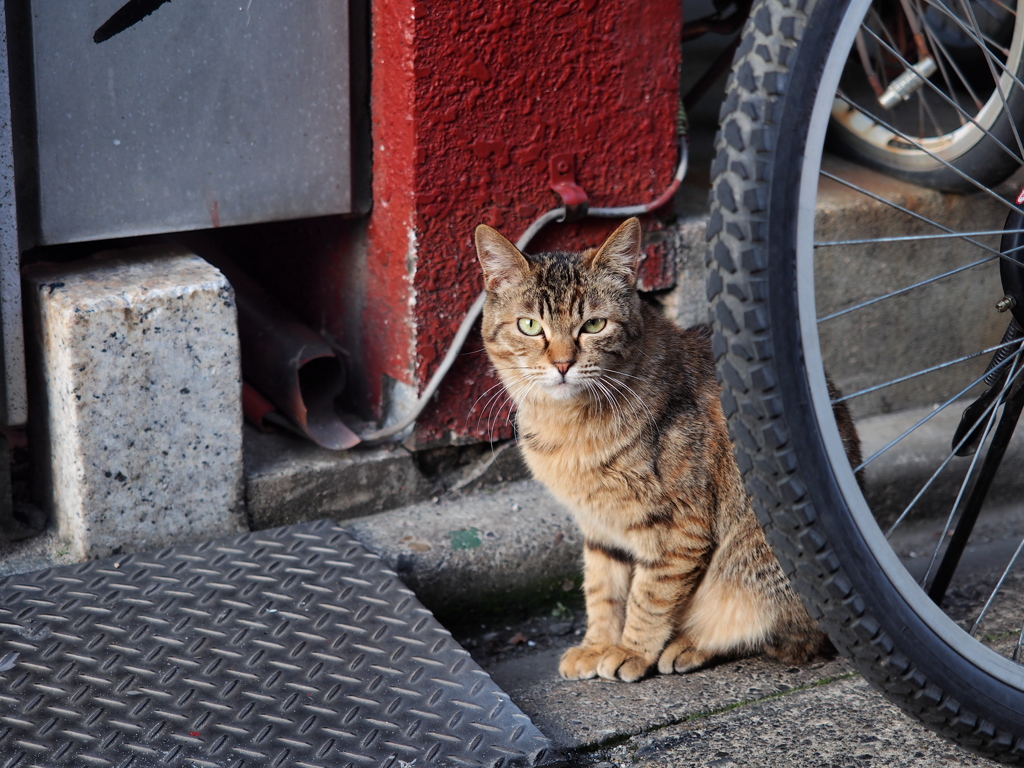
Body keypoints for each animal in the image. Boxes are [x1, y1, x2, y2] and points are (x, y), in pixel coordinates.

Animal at [475, 218, 860, 684]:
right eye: (530, 326)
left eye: (594, 325)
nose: (563, 364)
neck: (568, 427)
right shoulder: (600, 528)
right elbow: (602, 590)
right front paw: (598, 644)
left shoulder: (679, 529)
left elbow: (649, 595)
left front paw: (630, 650)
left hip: (759, 567)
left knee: (781, 636)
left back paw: (689, 644)